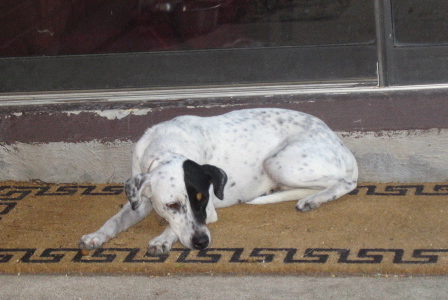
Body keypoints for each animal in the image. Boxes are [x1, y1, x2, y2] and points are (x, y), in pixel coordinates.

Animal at [78, 108, 356, 255]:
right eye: (172, 205)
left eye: (202, 200)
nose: (202, 243)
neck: (166, 146)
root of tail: (339, 142)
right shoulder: (140, 200)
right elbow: (115, 220)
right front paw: (96, 236)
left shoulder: (209, 212)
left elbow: (174, 228)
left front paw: (161, 239)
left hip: (278, 162)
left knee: (345, 183)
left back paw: (312, 199)